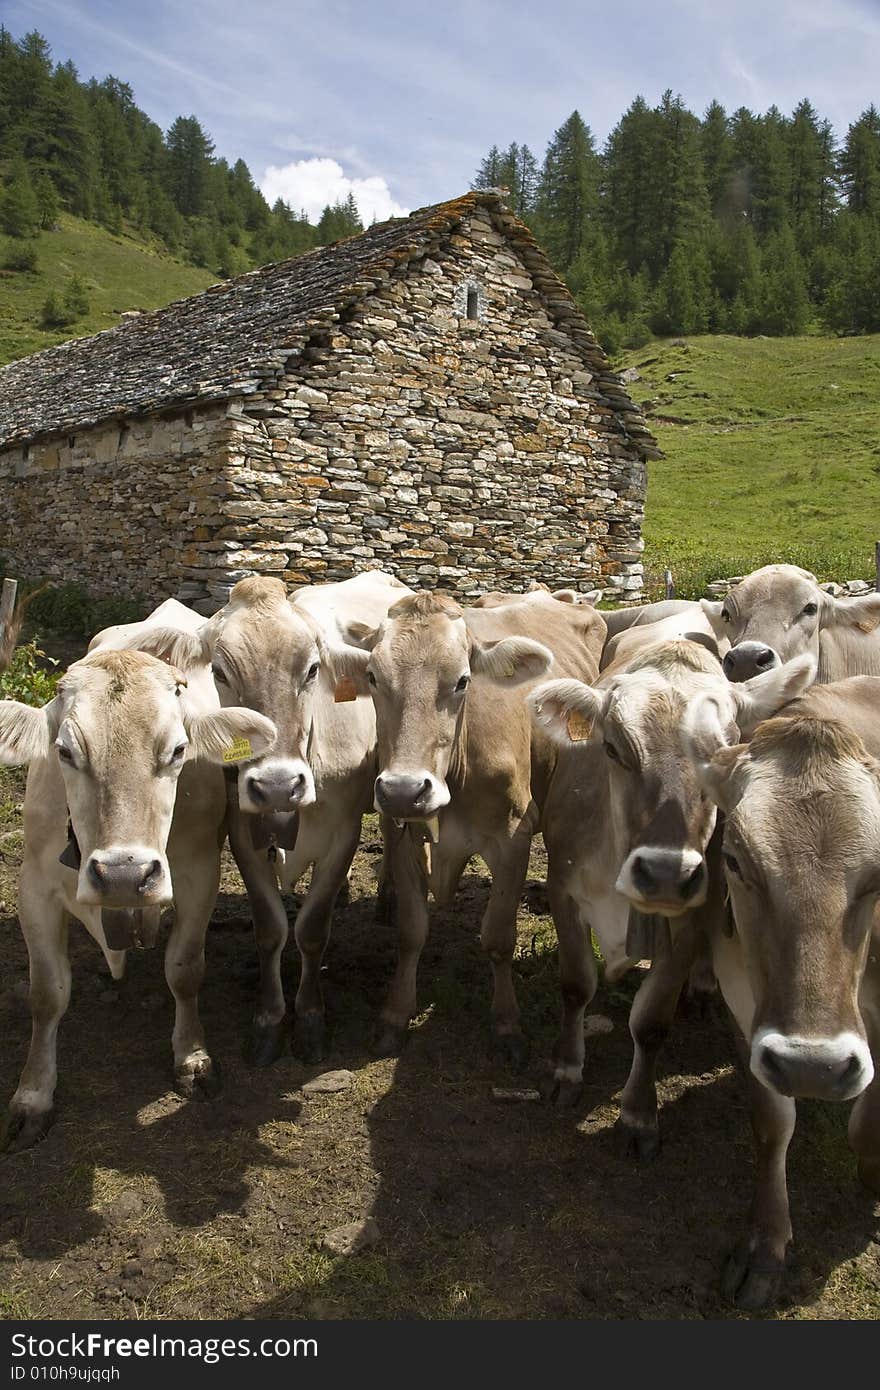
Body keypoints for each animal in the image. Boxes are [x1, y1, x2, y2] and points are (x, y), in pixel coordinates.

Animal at [0, 644, 275, 1145]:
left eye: (179, 750)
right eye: (65, 751)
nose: (123, 875)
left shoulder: (198, 875)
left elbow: (184, 970)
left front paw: (192, 1058)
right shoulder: (33, 887)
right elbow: (46, 994)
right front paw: (33, 1095)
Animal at [120, 564, 411, 1061]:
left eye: (312, 669)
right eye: (219, 671)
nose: (277, 784)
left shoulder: (345, 832)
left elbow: (313, 929)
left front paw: (310, 1019)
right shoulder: (243, 833)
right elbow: (271, 929)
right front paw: (269, 1020)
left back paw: (389, 896)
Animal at [525, 639, 811, 1128]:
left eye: (725, 753)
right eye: (612, 747)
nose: (664, 874)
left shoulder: (691, 919)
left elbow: (652, 1022)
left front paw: (639, 1112)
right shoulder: (563, 888)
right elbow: (576, 985)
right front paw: (566, 1071)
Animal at [683, 678, 878, 1306]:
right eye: (735, 859)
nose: (813, 1066)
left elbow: (866, 1122)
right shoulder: (747, 1002)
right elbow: (773, 1124)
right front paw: (765, 1245)